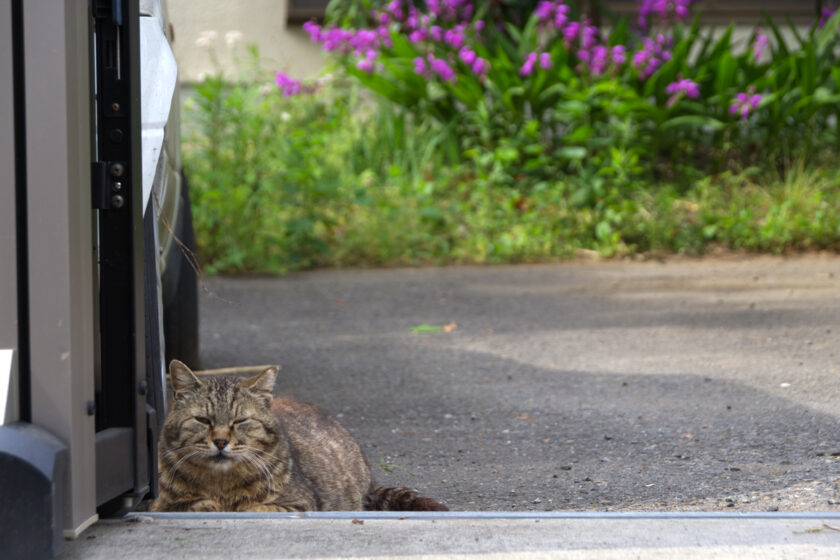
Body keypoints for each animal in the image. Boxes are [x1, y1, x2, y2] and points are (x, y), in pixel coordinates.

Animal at [153, 358, 450, 512]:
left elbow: (252, 507)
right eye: (203, 420)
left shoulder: (299, 505)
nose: (221, 441)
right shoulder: (163, 505)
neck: (221, 486)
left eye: (241, 421)